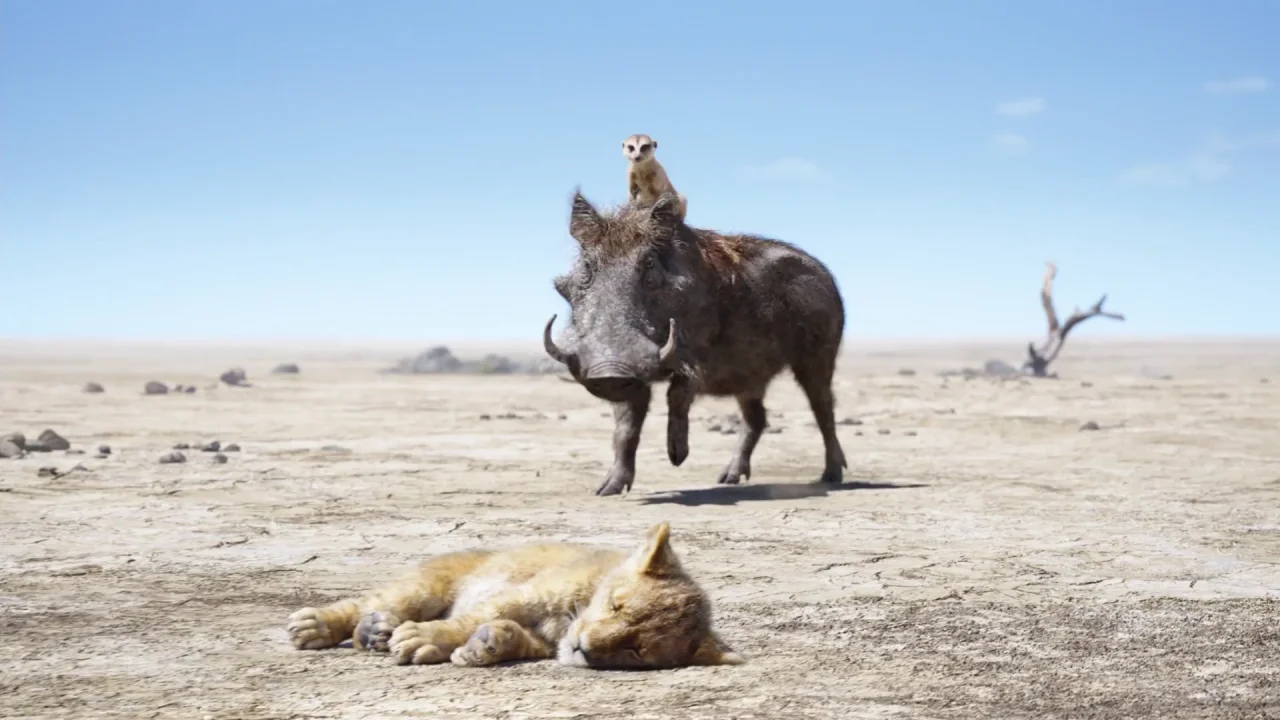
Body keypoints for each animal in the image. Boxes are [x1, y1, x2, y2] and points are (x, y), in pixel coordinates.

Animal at [286, 522, 744, 669]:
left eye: (635, 650)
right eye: (617, 606)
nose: (582, 648)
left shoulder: (542, 641)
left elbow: (509, 637)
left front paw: (485, 646)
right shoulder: (524, 594)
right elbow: (465, 621)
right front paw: (425, 639)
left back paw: (374, 633)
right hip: (425, 586)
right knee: (369, 603)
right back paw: (317, 626)